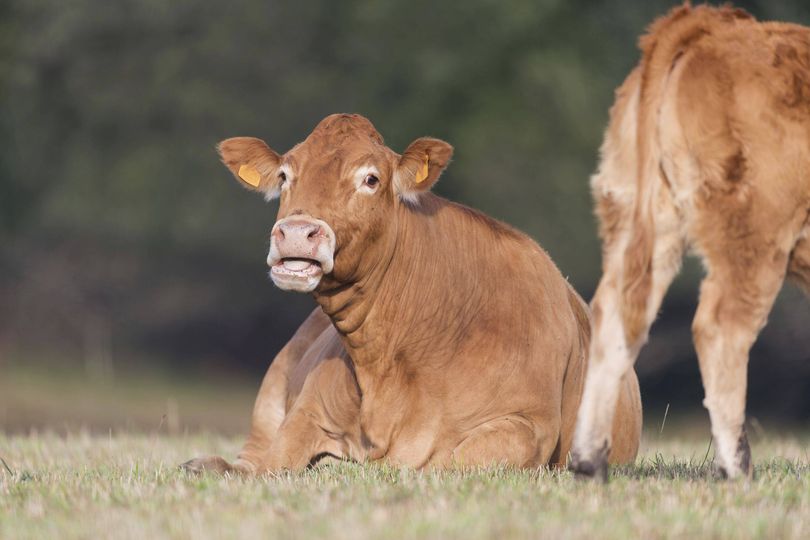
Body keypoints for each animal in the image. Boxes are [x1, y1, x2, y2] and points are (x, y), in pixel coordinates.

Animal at [183, 113, 642, 474]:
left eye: (371, 178)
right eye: (284, 176)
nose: (297, 232)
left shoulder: (528, 424)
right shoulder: (305, 413)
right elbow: (270, 463)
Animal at [569, 4, 810, 481]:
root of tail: (717, 23)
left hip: (638, 213)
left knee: (614, 313)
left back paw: (589, 460)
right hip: (755, 231)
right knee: (720, 327)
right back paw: (737, 468)